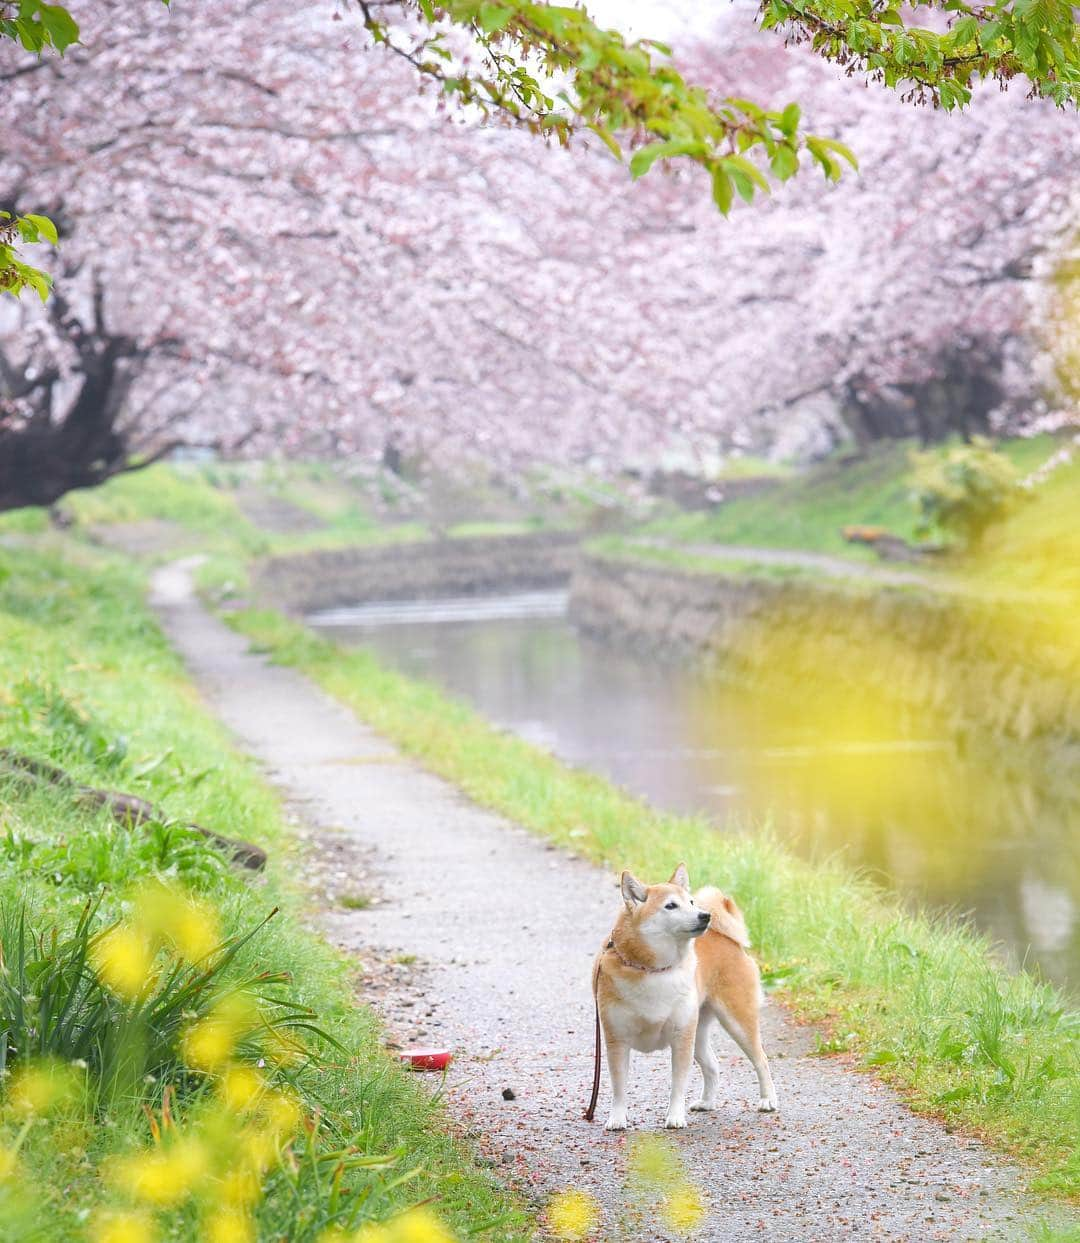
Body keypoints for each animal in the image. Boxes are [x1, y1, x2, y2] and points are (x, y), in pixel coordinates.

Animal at [589, 865, 775, 1128]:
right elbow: (619, 1087)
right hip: (698, 1033)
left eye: (691, 902)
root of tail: (727, 939)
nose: (705, 915)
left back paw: (768, 1100)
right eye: (670, 906)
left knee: (761, 1060)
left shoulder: (680, 1038)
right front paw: (617, 1118)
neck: (654, 970)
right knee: (713, 1066)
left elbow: (678, 1085)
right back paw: (707, 1102)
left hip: (734, 1023)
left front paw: (675, 1117)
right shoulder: (617, 1040)